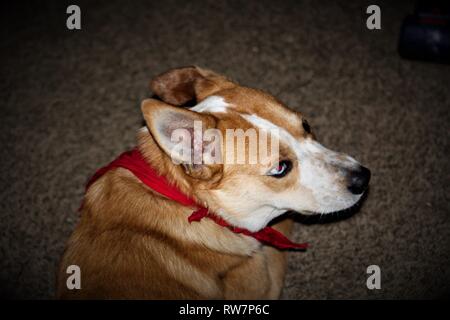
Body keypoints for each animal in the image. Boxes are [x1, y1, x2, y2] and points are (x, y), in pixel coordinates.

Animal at [57, 66, 370, 298]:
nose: (363, 177)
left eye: (306, 125)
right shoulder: (264, 278)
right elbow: (281, 224)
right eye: (281, 168)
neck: (187, 200)